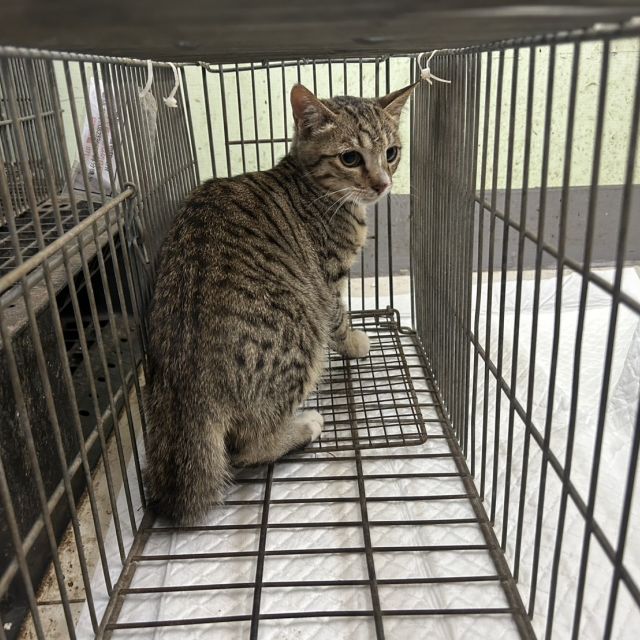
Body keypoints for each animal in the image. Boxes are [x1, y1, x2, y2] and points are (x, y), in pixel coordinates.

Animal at [144, 81, 416, 523]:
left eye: (391, 152)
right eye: (350, 157)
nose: (382, 185)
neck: (313, 188)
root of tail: (191, 388)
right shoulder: (326, 281)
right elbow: (339, 318)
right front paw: (355, 341)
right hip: (302, 332)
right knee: (249, 447)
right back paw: (304, 427)